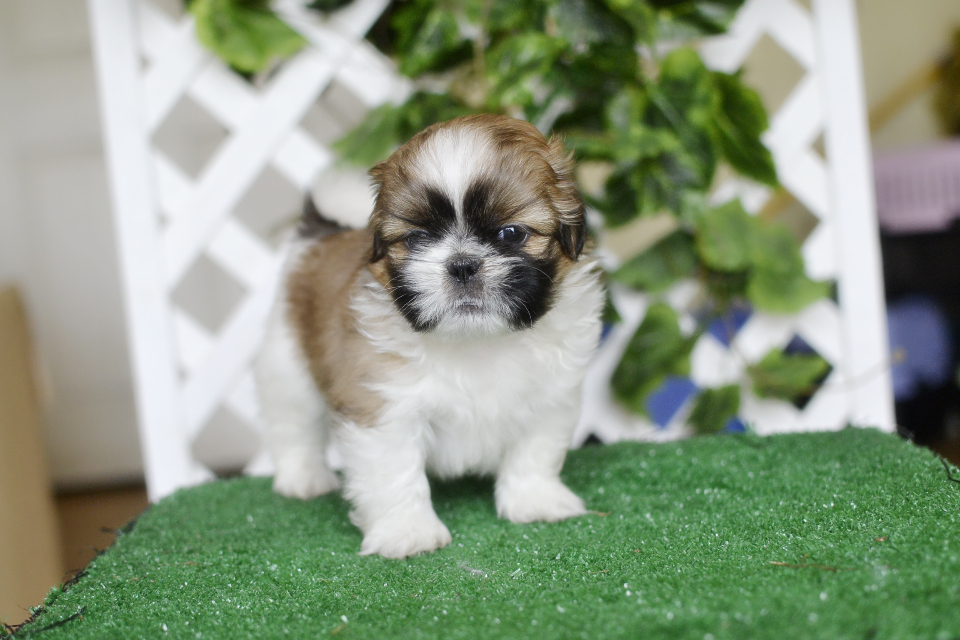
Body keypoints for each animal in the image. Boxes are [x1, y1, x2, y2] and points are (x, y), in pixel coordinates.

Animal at [255, 114, 604, 558]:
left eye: (510, 234)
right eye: (419, 238)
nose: (462, 264)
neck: (477, 341)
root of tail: (321, 234)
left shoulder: (551, 398)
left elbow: (535, 453)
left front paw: (535, 502)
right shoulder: (385, 408)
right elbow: (394, 474)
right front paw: (408, 532)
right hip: (287, 362)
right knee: (293, 424)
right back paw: (303, 479)